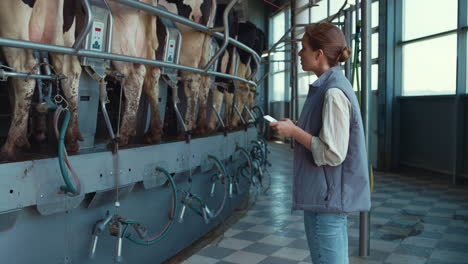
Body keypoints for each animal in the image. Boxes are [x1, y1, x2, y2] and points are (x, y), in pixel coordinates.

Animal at [0, 0, 82, 159]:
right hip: (64, 33)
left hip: (12, 25)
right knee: (71, 70)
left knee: (25, 66)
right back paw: (71, 138)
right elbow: (12, 92)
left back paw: (12, 144)